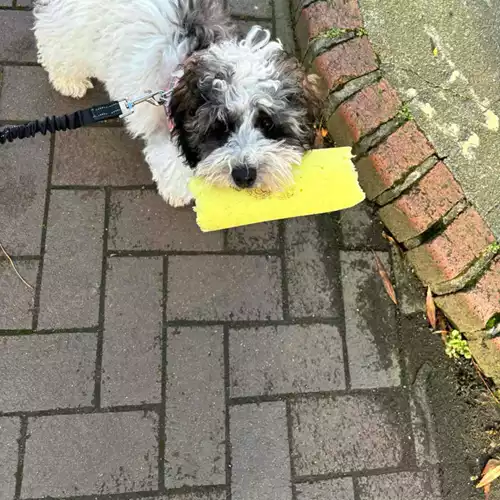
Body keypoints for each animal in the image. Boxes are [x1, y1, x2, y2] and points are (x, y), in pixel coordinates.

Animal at [33, 0, 326, 205]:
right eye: (220, 127)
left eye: (267, 124)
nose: (244, 176)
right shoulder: (170, 132)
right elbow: (171, 164)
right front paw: (179, 193)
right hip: (72, 28)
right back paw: (67, 79)